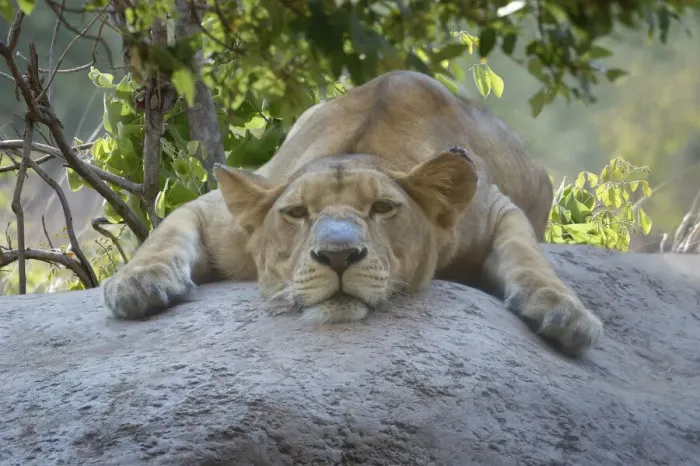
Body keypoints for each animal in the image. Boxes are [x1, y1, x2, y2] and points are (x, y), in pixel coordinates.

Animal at [102, 70, 603, 357]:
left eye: (383, 208)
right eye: (296, 212)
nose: (338, 256)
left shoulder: (496, 207)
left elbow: (527, 254)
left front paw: (563, 311)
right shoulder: (220, 210)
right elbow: (165, 233)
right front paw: (138, 283)